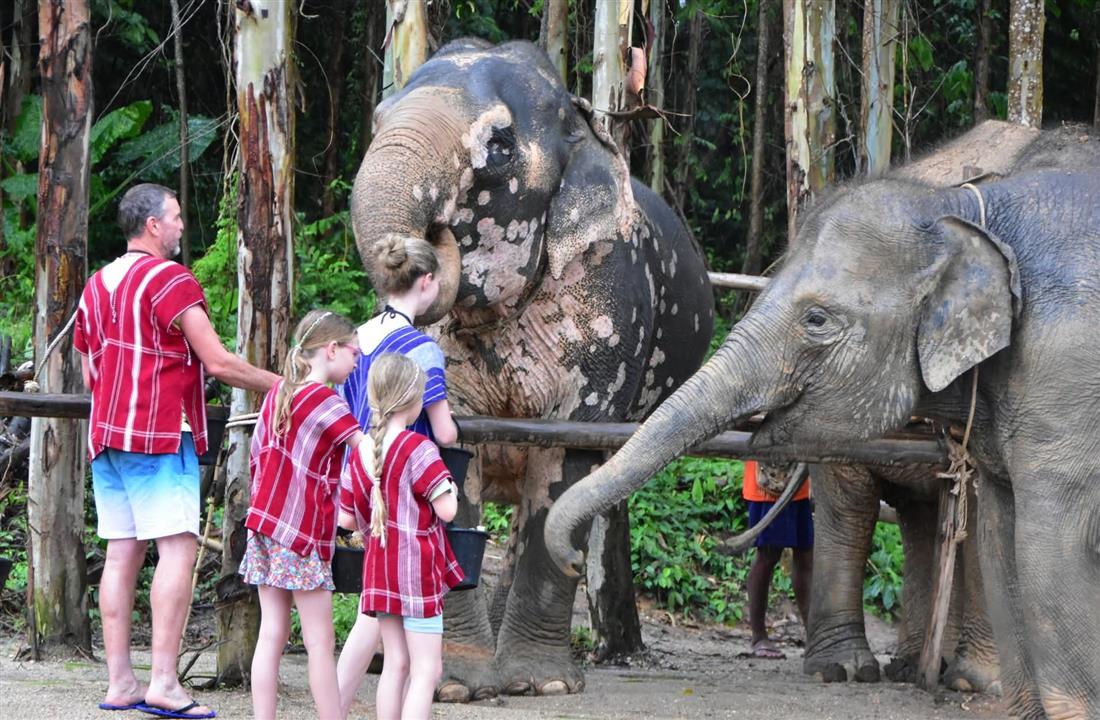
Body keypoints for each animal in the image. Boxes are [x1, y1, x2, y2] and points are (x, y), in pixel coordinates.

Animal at [349, 39, 714, 699]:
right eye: (378, 120)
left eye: (499, 146)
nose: (416, 244)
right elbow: (451, 447)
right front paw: (455, 686)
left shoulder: (610, 309)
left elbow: (567, 455)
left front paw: (542, 686)